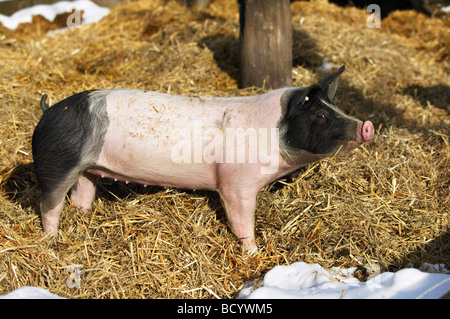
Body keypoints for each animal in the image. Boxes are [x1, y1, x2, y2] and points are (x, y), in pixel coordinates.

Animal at [31, 66, 374, 251]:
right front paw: (254, 252)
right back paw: (51, 241)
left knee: (81, 196)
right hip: (56, 162)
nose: (366, 125)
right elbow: (241, 220)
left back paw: (82, 218)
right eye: (319, 115)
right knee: (49, 205)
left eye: (335, 107)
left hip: (88, 169)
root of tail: (48, 111)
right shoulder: (236, 183)